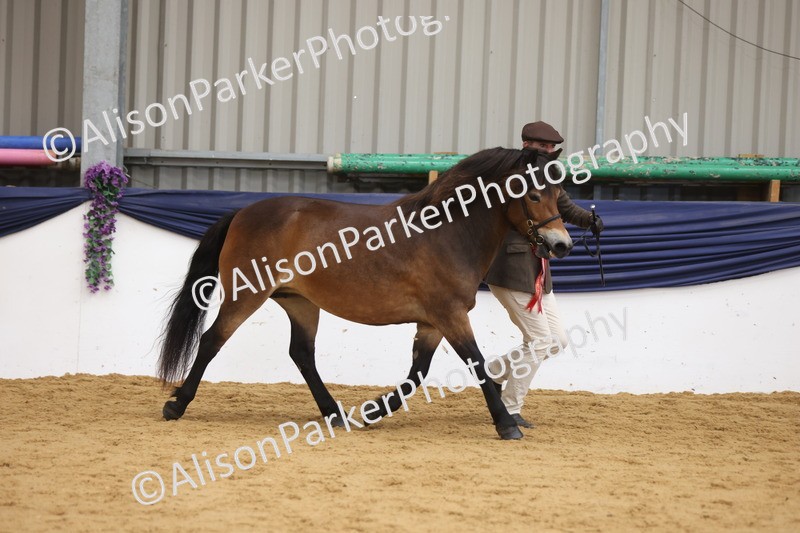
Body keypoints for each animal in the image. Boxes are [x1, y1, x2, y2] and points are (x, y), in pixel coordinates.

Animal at [157, 146, 573, 440]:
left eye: (559, 192)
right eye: (533, 195)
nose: (561, 245)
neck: (446, 231)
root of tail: (242, 213)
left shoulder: (432, 322)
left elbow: (417, 374)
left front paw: (372, 411)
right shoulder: (450, 315)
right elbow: (477, 363)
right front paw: (506, 424)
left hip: (300, 303)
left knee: (302, 354)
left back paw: (336, 414)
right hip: (246, 295)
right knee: (212, 340)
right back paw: (176, 405)